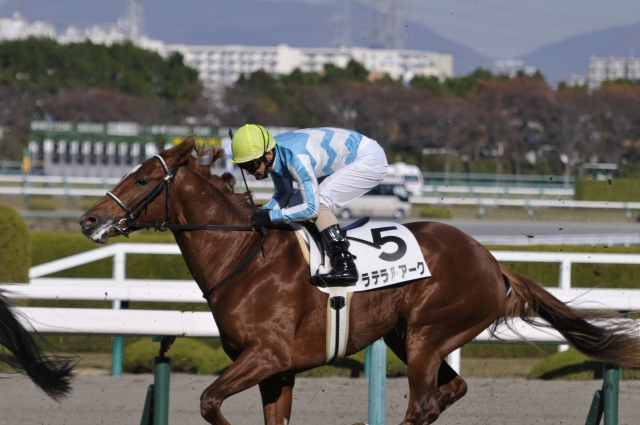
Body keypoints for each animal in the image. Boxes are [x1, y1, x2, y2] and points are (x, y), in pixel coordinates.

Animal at [79, 136, 640, 425]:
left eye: (143, 179)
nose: (88, 220)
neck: (245, 258)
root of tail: (491, 260)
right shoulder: (277, 370)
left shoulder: (268, 357)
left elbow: (209, 401)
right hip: (404, 336)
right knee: (449, 391)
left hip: (428, 335)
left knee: (423, 403)